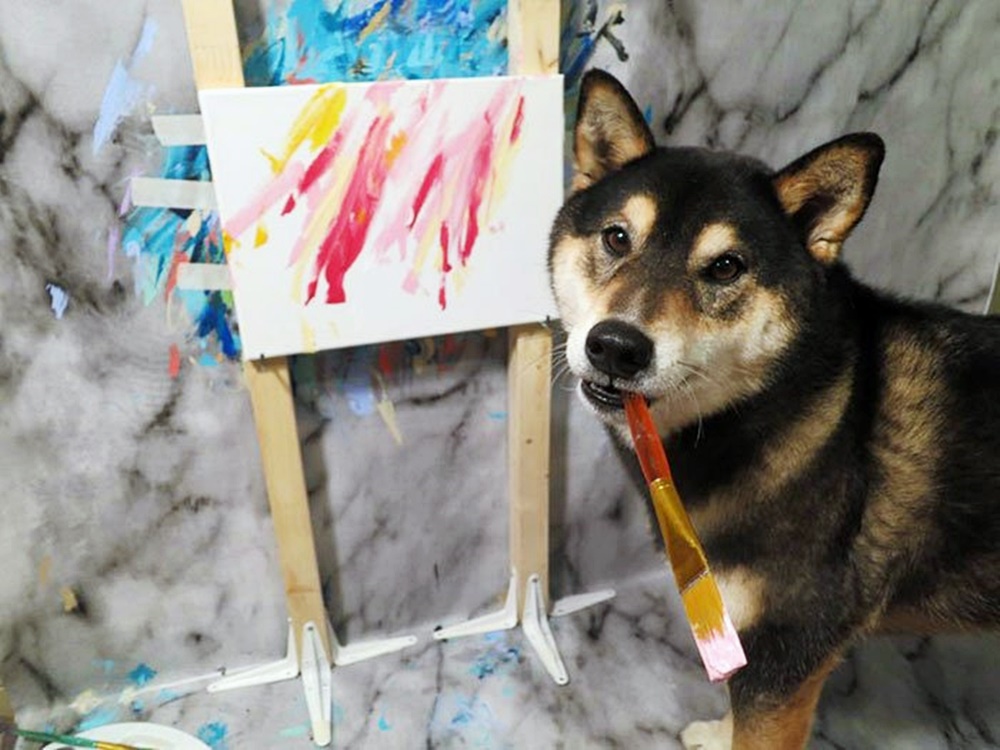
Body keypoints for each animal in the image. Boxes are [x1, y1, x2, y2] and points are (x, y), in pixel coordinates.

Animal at [549, 69, 1000, 749]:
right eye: (617, 237)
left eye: (726, 266)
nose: (616, 346)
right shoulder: (745, 638)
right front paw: (718, 733)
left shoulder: (789, 653)